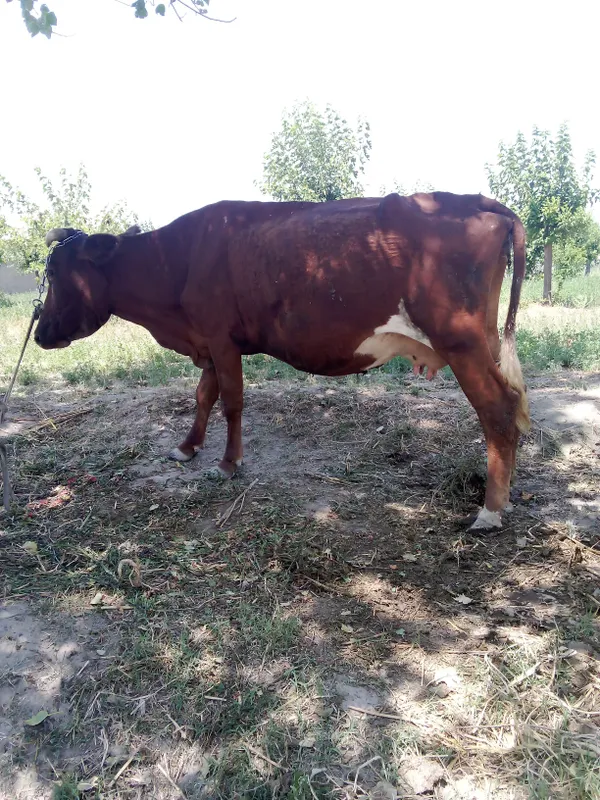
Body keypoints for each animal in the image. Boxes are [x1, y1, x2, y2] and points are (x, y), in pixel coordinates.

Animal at [34, 192, 530, 530]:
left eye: (55, 272)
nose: (39, 333)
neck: (176, 261)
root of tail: (471, 200)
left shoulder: (220, 338)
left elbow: (231, 401)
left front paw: (228, 463)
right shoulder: (209, 342)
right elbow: (203, 396)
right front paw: (187, 447)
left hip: (462, 341)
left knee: (498, 411)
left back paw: (489, 511)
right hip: (482, 342)